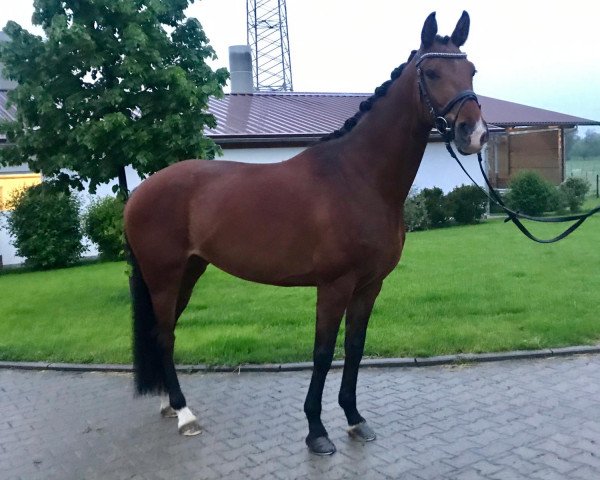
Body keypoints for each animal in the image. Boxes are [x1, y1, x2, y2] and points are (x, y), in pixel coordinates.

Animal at [125, 10, 488, 454]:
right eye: (433, 72)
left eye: (471, 71)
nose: (474, 133)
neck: (357, 177)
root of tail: (139, 193)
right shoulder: (334, 285)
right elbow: (322, 352)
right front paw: (317, 431)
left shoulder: (369, 286)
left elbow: (354, 348)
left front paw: (354, 419)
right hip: (164, 277)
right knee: (164, 335)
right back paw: (185, 414)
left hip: (189, 273)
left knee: (166, 333)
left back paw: (169, 404)